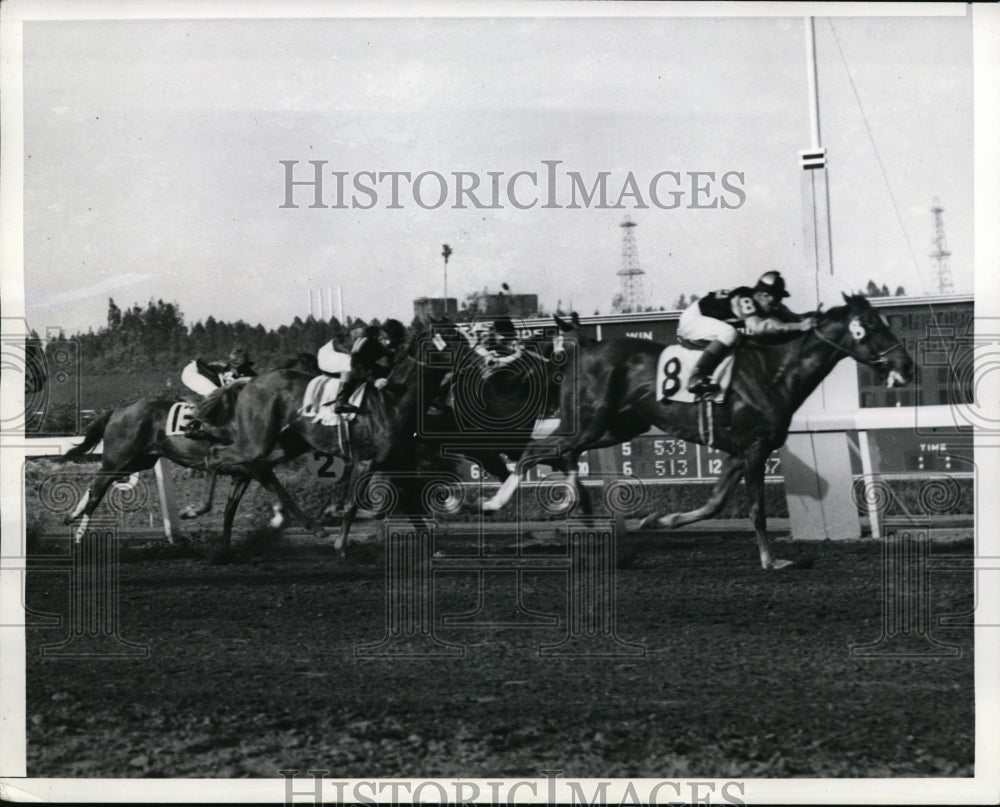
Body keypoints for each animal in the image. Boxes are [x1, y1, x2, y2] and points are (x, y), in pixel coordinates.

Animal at [482, 296, 916, 568]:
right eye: (869, 327)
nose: (907, 366)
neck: (774, 372)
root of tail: (583, 349)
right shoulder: (755, 448)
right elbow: (756, 510)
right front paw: (771, 559)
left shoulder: (738, 451)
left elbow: (714, 504)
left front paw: (659, 521)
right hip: (591, 422)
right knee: (535, 450)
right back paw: (494, 502)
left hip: (616, 426)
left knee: (561, 453)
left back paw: (594, 531)